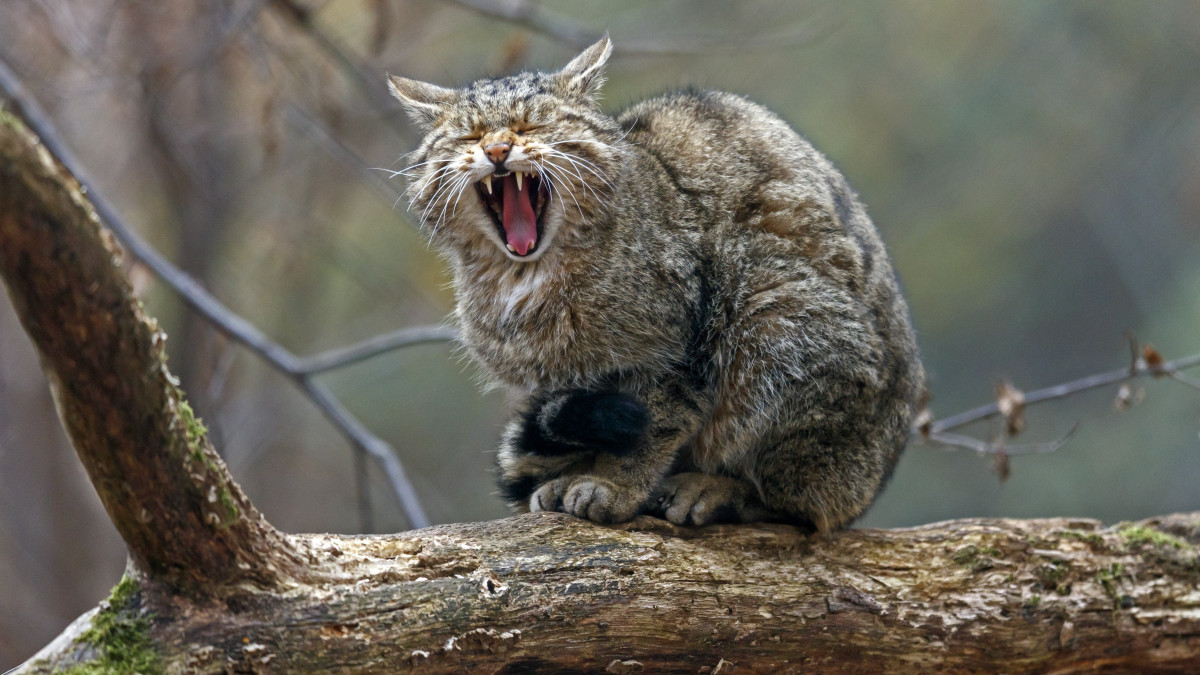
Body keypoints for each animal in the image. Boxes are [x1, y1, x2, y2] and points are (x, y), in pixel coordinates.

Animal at [388, 35, 921, 530]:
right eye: (469, 136)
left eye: (531, 126)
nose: (497, 148)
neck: (525, 277)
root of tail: (877, 476)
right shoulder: (558, 383)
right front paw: (574, 477)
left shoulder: (682, 348)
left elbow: (653, 427)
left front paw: (613, 486)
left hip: (777, 312)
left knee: (801, 506)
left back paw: (719, 490)